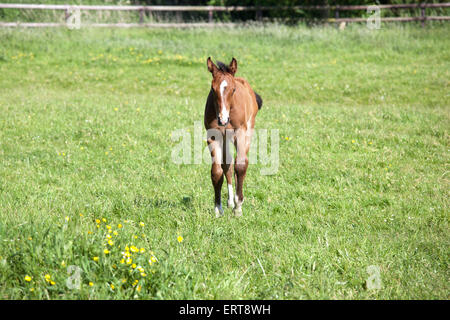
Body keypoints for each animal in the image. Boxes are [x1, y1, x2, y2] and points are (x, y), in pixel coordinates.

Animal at [203, 57, 262, 218]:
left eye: (233, 89)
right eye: (212, 89)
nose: (222, 119)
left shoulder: (240, 133)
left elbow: (240, 165)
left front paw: (238, 207)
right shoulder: (214, 137)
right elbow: (217, 171)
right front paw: (218, 208)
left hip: (248, 131)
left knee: (241, 163)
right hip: (224, 139)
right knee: (227, 164)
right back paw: (229, 201)